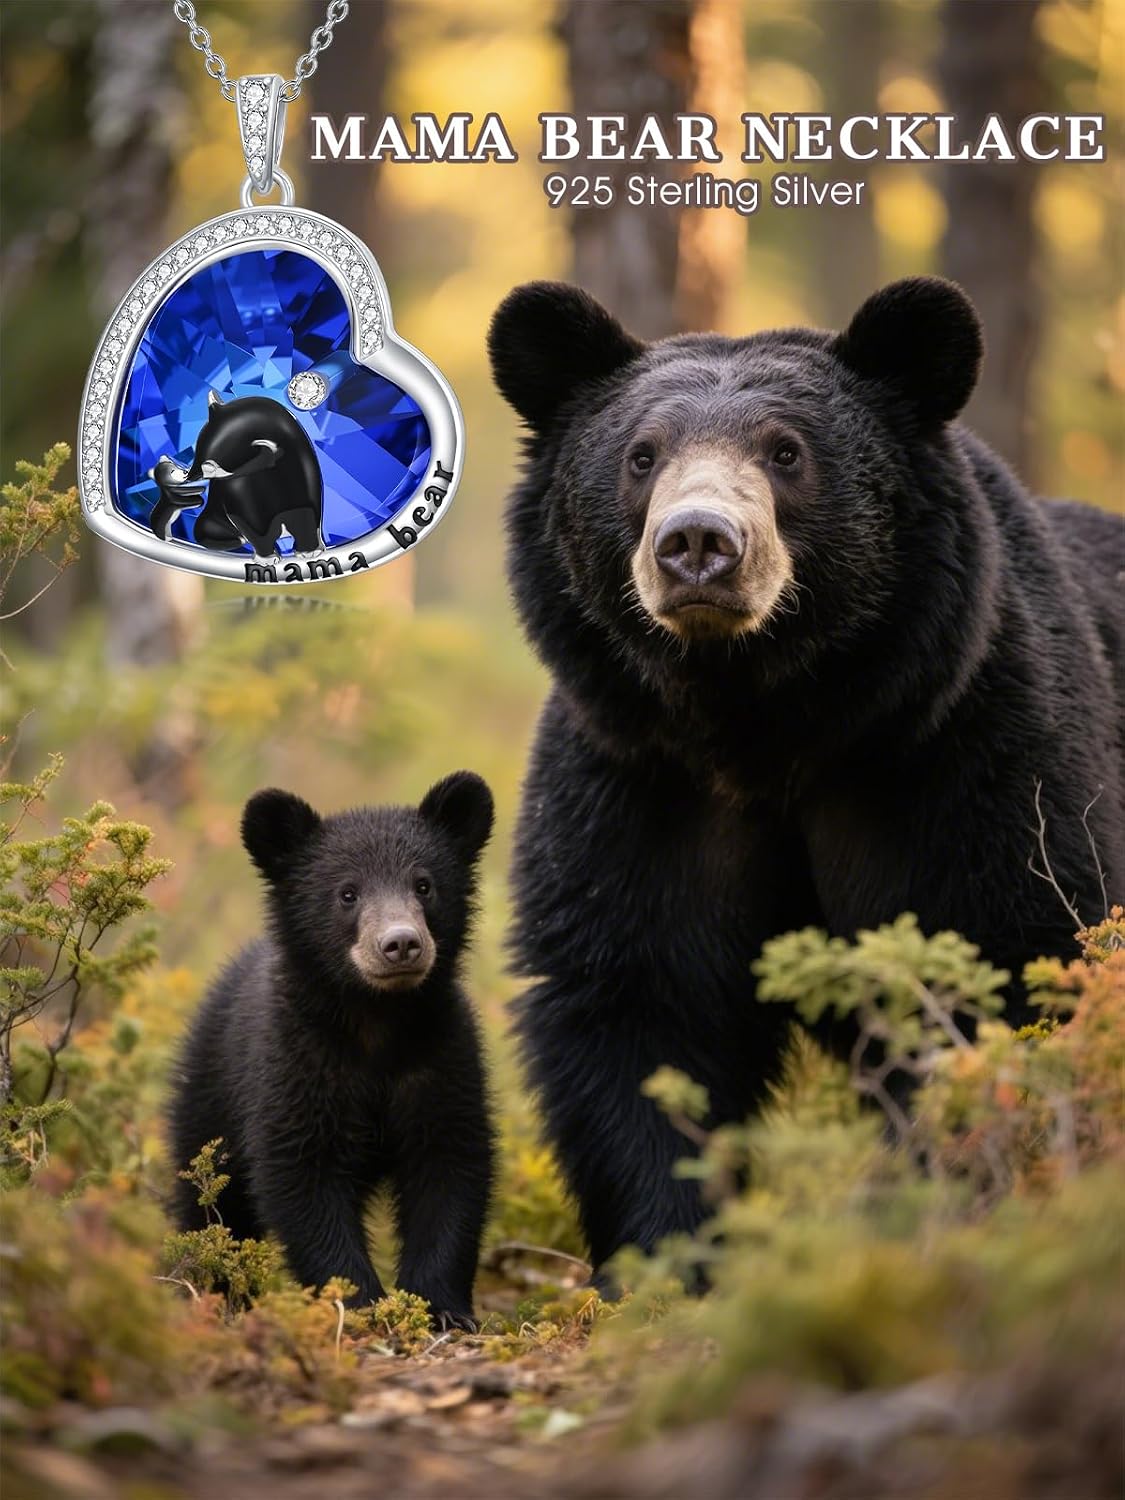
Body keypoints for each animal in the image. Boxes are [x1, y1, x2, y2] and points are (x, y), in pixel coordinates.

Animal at [150, 390, 324, 555]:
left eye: (209, 468)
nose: (187, 475)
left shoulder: (307, 491)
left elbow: (308, 522)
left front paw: (310, 551)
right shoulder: (243, 504)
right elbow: (257, 533)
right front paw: (267, 557)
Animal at [168, 772, 496, 1329]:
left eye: (424, 884)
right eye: (347, 893)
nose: (401, 944)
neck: (378, 1023)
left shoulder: (441, 1058)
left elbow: (450, 1169)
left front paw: (441, 1308)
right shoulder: (296, 1064)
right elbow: (304, 1179)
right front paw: (357, 1304)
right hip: (209, 1099)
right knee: (213, 1205)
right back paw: (217, 1292)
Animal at [487, 275, 1124, 1285]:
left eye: (786, 451)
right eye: (640, 455)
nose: (697, 544)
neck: (765, 720)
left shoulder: (960, 752)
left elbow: (999, 953)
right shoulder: (638, 778)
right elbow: (638, 1006)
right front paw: (668, 1262)